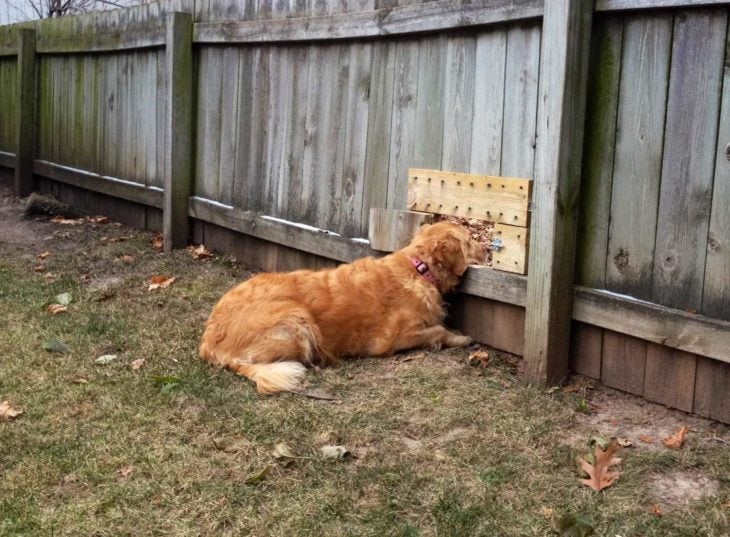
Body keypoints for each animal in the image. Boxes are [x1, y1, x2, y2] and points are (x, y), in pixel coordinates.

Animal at [199, 220, 484, 392]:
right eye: (470, 241)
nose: (487, 249)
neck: (419, 268)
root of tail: (209, 346)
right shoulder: (393, 339)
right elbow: (438, 330)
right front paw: (461, 338)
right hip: (296, 319)